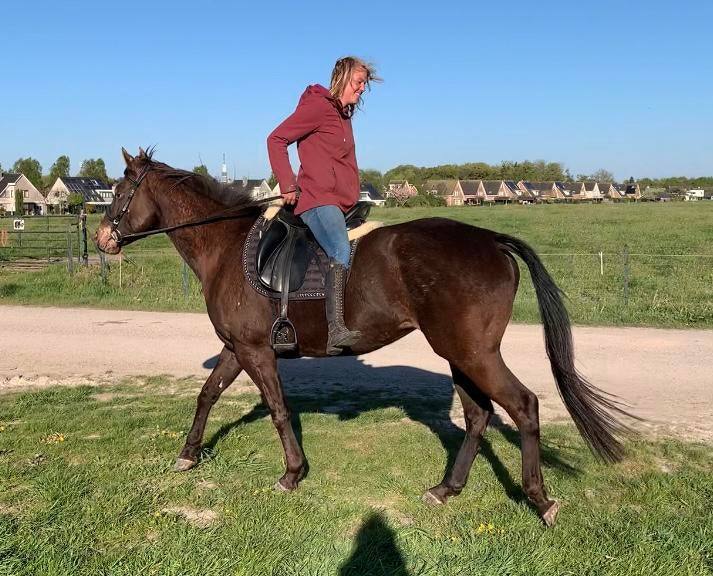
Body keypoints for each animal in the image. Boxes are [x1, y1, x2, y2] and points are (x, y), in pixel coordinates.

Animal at [95, 147, 629, 526]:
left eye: (120, 194)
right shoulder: (236, 347)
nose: (103, 239)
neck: (226, 247)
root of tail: (490, 240)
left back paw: (539, 500)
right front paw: (188, 454)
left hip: (473, 353)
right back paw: (446, 489)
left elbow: (278, 409)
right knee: (478, 416)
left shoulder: (255, 350)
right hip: (460, 354)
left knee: (523, 406)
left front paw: (291, 473)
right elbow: (207, 395)